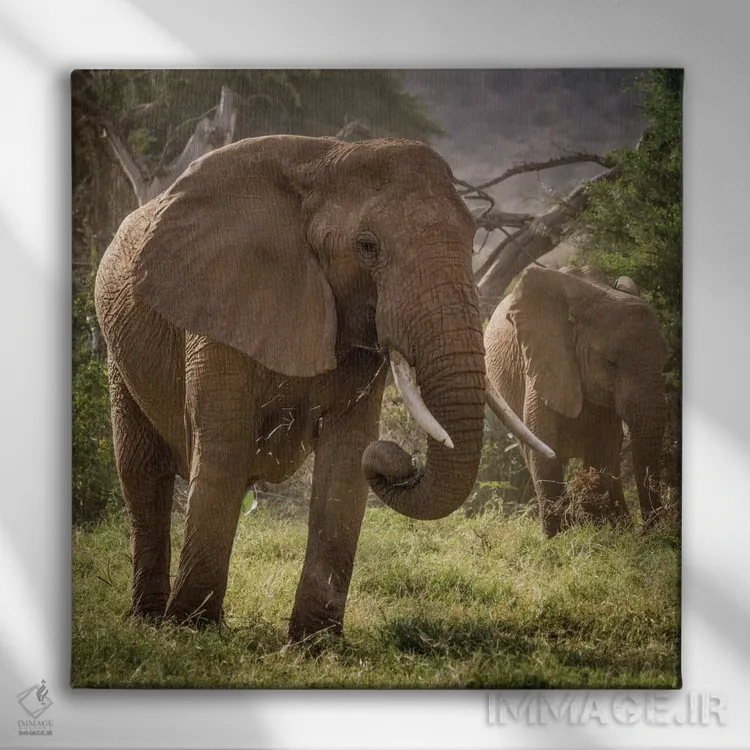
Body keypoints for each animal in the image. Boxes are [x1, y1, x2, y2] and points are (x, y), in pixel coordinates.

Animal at [95, 134, 552, 641]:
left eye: (472, 238)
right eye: (368, 246)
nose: (397, 459)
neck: (325, 163)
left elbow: (347, 455)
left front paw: (313, 644)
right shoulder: (218, 307)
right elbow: (225, 447)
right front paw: (191, 630)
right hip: (119, 356)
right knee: (142, 474)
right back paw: (149, 619)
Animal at [484, 264, 669, 537]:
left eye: (664, 360)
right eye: (610, 363)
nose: (648, 530)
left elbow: (603, 448)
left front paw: (602, 529)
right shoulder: (545, 360)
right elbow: (543, 445)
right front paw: (559, 537)